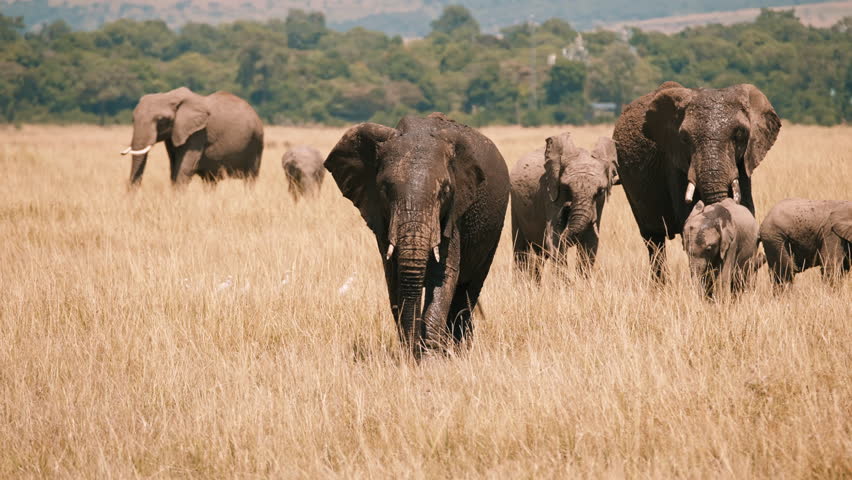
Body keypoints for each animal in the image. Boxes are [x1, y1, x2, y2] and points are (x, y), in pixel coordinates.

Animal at [121, 87, 263, 186]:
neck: (169, 96)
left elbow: (184, 168)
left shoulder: (198, 133)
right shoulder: (175, 133)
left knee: (251, 178)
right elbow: (173, 169)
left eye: (161, 120)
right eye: (132, 119)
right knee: (210, 181)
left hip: (256, 142)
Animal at [325, 113, 510, 358]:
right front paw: (411, 355)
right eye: (384, 190)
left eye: (445, 191)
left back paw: (459, 351)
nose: (415, 351)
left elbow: (444, 274)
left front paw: (431, 358)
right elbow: (394, 276)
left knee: (467, 291)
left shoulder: (454, 213)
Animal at [510, 133, 618, 278]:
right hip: (515, 206)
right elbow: (555, 241)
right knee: (521, 251)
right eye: (566, 188)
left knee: (539, 257)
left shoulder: (598, 206)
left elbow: (590, 244)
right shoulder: (551, 195)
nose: (567, 206)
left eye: (600, 191)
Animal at [612, 81, 780, 283]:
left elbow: (747, 208)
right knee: (653, 239)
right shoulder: (674, 163)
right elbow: (687, 213)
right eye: (684, 138)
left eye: (740, 134)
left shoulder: (744, 163)